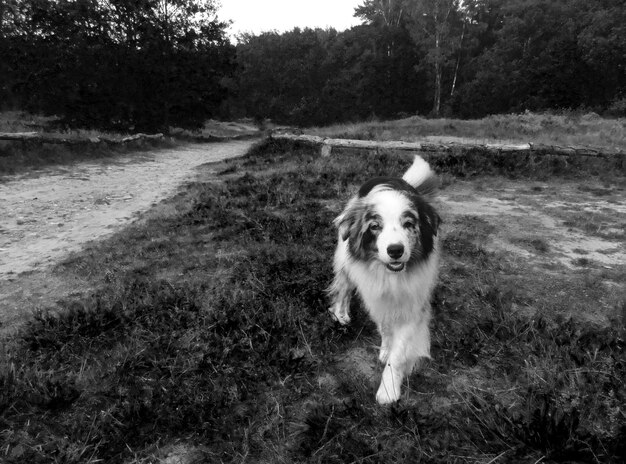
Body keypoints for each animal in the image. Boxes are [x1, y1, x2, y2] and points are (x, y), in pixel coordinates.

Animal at [326, 155, 438, 402]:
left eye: (409, 224)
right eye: (375, 227)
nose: (395, 250)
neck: (392, 277)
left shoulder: (413, 305)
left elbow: (398, 352)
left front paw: (388, 389)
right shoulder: (377, 297)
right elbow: (386, 328)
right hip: (344, 260)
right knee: (343, 288)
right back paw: (341, 314)